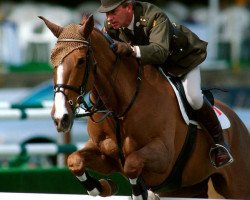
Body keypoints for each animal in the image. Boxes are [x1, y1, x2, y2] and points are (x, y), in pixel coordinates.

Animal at [41, 15, 250, 198]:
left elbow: (132, 164)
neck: (119, 110)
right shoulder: (106, 157)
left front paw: (138, 192)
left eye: (81, 60)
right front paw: (104, 187)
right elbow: (74, 160)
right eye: (52, 61)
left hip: (236, 186)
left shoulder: (163, 156)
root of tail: (239, 123)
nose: (61, 118)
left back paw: (222, 152)